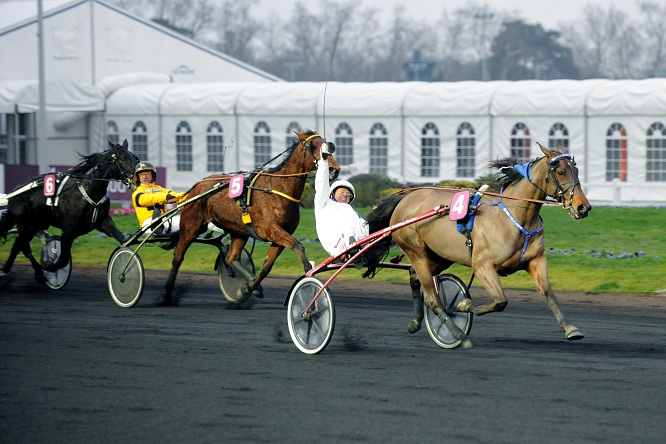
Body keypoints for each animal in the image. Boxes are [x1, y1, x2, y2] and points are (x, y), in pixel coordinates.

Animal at [0, 140, 137, 282]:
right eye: (122, 159)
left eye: (136, 158)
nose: (137, 178)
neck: (87, 190)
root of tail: (14, 193)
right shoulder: (68, 231)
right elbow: (63, 259)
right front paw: (49, 265)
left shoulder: (103, 221)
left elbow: (121, 237)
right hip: (25, 224)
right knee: (22, 245)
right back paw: (34, 271)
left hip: (34, 224)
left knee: (19, 244)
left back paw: (11, 269)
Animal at [161, 128, 338, 306]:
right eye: (313, 146)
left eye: (329, 145)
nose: (334, 169)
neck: (279, 189)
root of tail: (196, 187)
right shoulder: (271, 230)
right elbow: (298, 245)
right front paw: (309, 269)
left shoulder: (280, 236)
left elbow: (267, 266)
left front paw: (248, 288)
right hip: (191, 228)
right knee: (178, 258)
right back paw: (167, 295)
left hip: (239, 231)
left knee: (230, 258)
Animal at [364, 142, 592, 346]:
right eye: (561, 172)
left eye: (576, 170)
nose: (583, 207)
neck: (515, 216)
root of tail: (405, 198)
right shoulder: (483, 265)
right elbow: (500, 301)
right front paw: (463, 306)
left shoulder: (536, 261)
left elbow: (549, 294)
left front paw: (571, 329)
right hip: (416, 251)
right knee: (431, 298)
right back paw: (460, 336)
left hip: (439, 256)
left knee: (414, 277)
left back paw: (415, 321)